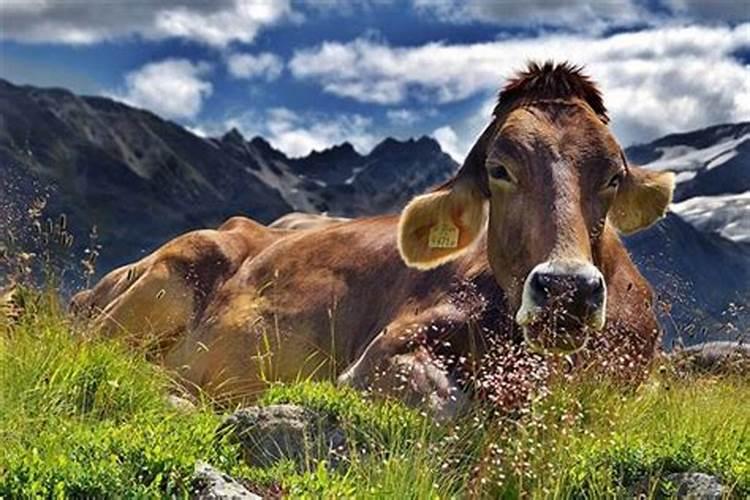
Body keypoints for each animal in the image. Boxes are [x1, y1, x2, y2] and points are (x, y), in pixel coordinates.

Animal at [73, 63, 680, 422]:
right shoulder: (384, 353)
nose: (565, 291)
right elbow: (446, 406)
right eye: (500, 169)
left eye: (612, 174)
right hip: (172, 272)